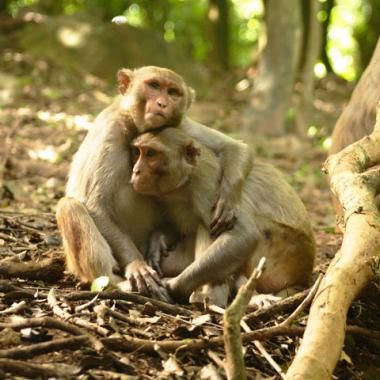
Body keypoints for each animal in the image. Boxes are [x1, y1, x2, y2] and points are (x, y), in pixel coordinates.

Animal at [130, 127, 314, 306]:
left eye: (151, 154)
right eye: (138, 152)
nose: (136, 171)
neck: (184, 184)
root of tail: (304, 278)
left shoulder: (208, 185)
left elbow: (243, 234)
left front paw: (172, 286)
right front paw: (157, 241)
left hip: (283, 255)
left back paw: (212, 298)